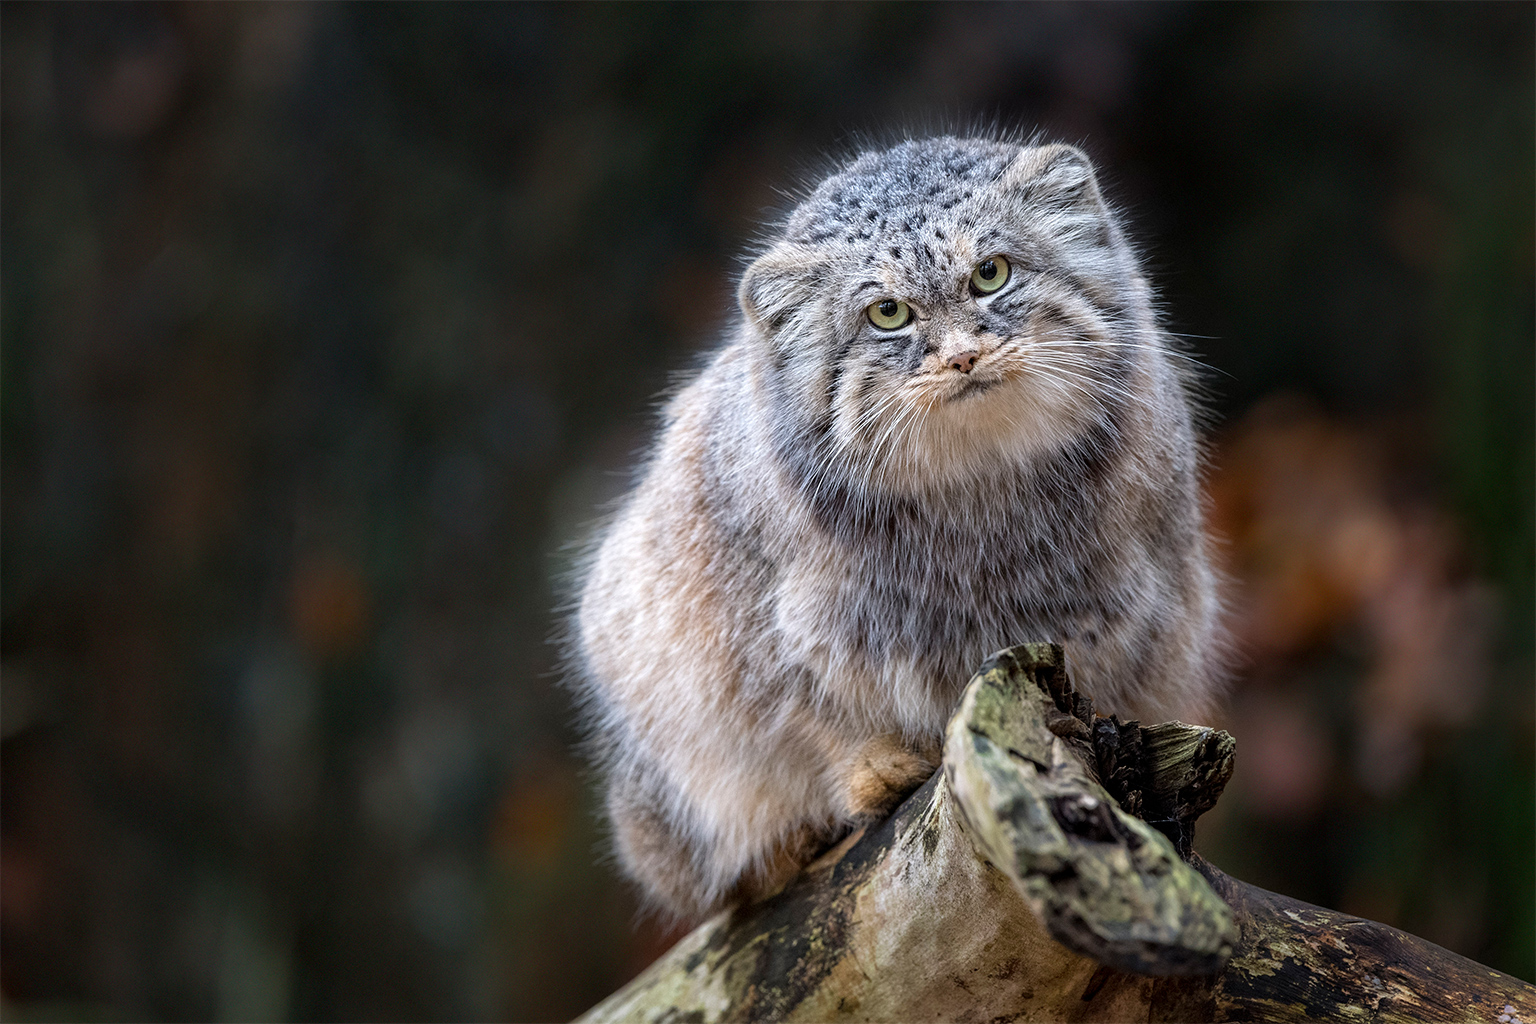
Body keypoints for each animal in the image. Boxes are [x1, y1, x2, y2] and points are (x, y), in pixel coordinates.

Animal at [568, 135, 1222, 921]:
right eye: (888, 313)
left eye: (991, 273)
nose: (962, 355)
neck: (976, 489)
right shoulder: (752, 628)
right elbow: (809, 710)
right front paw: (870, 766)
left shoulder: (1132, 599)